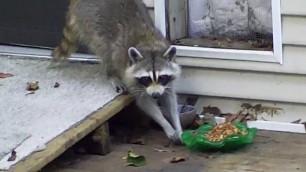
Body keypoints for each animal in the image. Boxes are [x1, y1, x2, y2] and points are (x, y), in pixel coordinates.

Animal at [51, 0, 183, 142]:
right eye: (146, 78)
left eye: (162, 77)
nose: (155, 95)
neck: (150, 46)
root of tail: (76, 2)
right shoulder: (131, 78)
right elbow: (145, 102)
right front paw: (166, 125)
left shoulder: (166, 80)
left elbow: (170, 98)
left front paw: (177, 125)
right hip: (91, 22)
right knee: (106, 51)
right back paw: (112, 75)